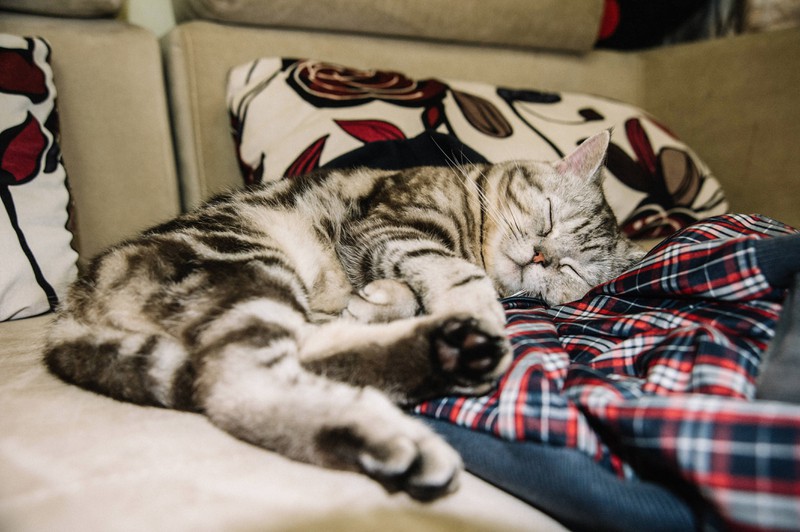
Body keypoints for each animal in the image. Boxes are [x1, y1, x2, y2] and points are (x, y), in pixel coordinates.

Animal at [43, 131, 644, 500]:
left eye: (571, 269)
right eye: (548, 216)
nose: (541, 256)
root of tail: (70, 311)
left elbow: (404, 287)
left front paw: (384, 298)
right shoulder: (390, 223)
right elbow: (451, 271)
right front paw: (473, 303)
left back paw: (441, 353)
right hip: (248, 264)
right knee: (237, 383)